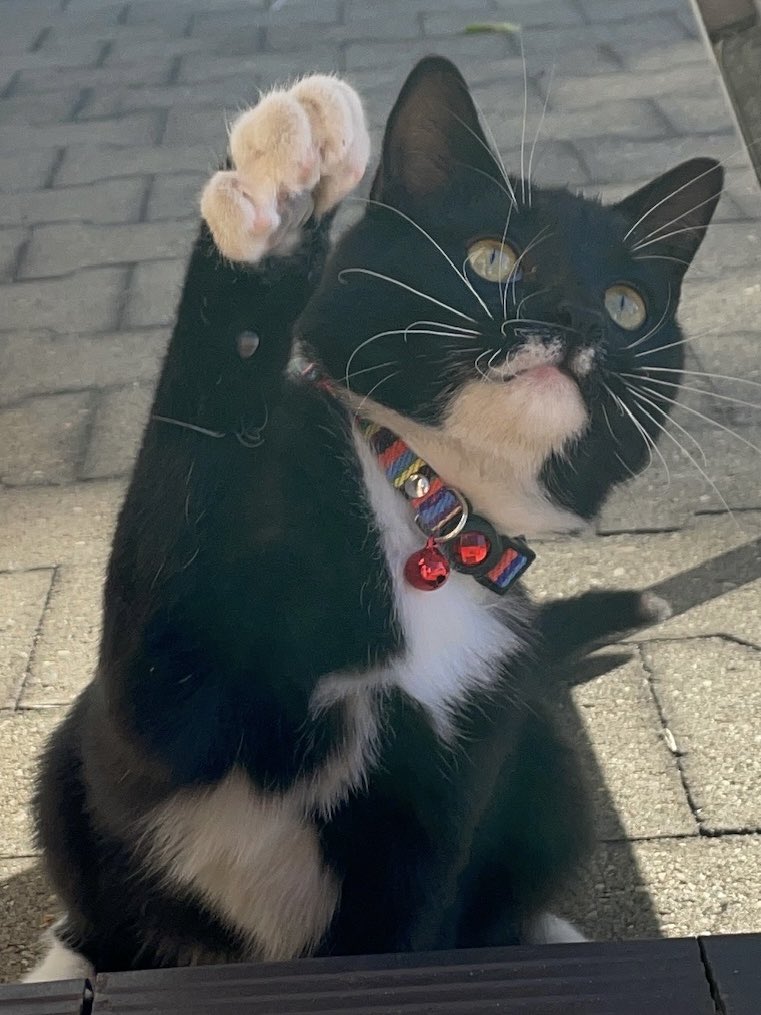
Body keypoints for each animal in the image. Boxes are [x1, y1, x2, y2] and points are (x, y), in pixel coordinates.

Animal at [26, 59, 722, 978]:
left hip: (545, 755)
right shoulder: (154, 707)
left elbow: (408, 929)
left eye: (625, 306)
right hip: (67, 772)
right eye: (489, 257)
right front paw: (279, 201)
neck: (426, 513)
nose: (575, 319)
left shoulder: (440, 807)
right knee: (104, 900)